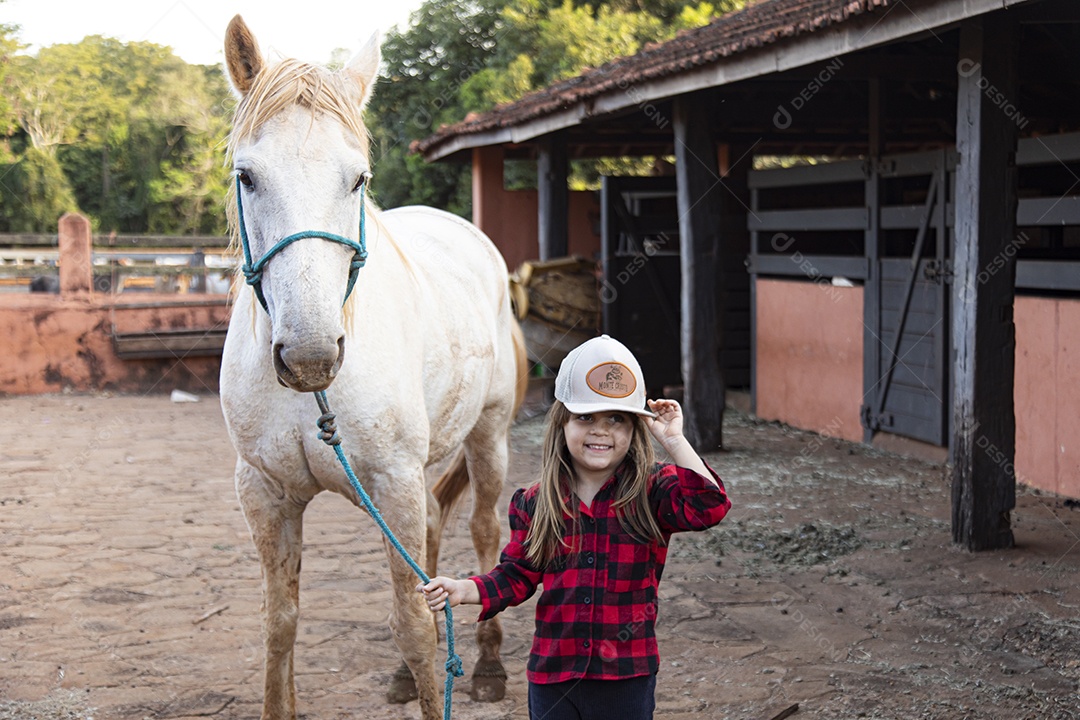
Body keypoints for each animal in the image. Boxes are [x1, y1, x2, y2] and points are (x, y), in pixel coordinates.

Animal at [218, 16, 526, 720]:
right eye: (247, 176)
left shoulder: (393, 482)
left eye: (357, 178)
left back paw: (490, 667)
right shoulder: (265, 493)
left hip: (488, 436)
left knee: (484, 528)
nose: (309, 355)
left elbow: (412, 625)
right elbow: (280, 623)